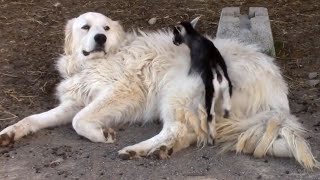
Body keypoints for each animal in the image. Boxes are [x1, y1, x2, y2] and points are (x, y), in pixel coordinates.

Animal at [0, 11, 318, 169]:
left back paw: (137, 150)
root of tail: (277, 92)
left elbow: (80, 121)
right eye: (86, 27)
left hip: (176, 91)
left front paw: (101, 135)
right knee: (189, 133)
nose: (100, 38)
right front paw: (10, 132)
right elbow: (35, 118)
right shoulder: (75, 100)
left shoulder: (123, 91)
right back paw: (160, 150)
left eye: (105, 28)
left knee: (178, 129)